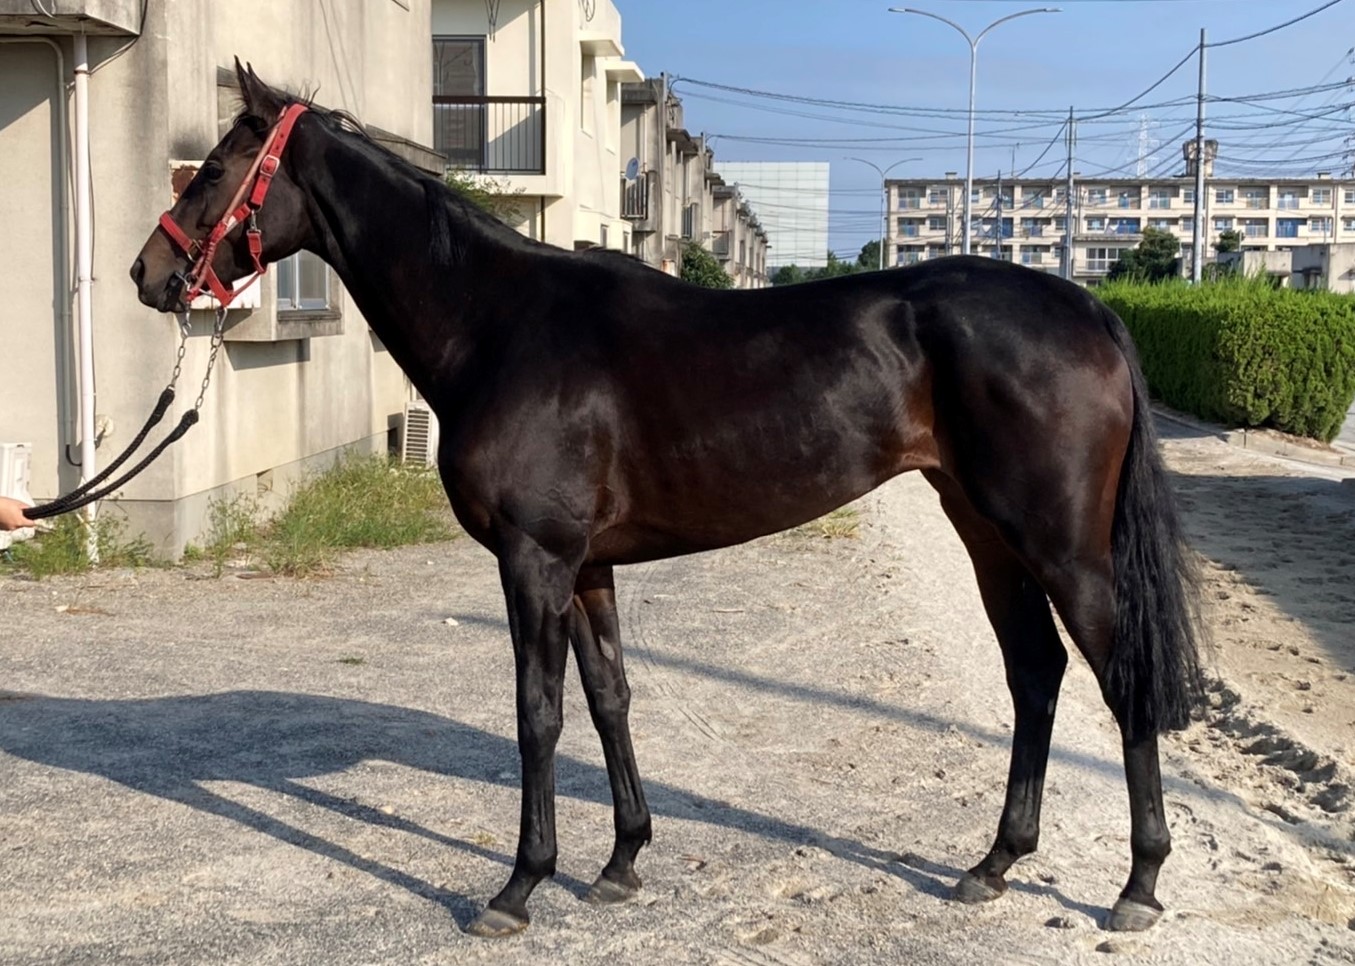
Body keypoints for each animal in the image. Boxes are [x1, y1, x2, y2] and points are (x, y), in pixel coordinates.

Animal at [130, 61, 1203, 938]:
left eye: (214, 169)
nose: (150, 273)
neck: (499, 325)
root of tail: (1086, 305)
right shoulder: (587, 565)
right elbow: (609, 699)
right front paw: (619, 863)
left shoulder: (533, 560)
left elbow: (537, 713)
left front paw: (519, 888)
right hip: (986, 534)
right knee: (1034, 674)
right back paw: (993, 864)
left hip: (1061, 546)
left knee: (1115, 677)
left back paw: (1139, 887)